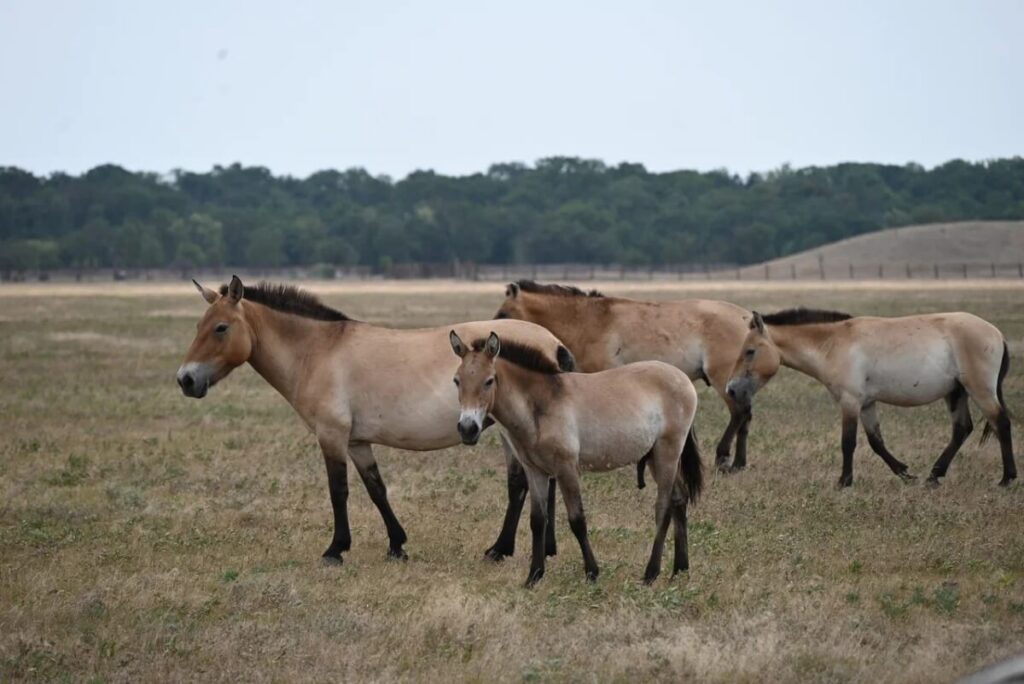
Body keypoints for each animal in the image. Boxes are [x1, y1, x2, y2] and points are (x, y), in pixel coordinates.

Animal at [176, 276, 576, 565]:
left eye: (221, 328)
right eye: (198, 326)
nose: (185, 380)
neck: (318, 351)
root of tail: (552, 341)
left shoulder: (332, 435)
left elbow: (338, 490)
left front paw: (335, 549)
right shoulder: (357, 442)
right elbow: (376, 489)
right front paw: (397, 545)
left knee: (520, 484)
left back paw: (501, 549)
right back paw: (542, 548)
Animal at [449, 330, 704, 586]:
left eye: (489, 380)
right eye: (457, 380)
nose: (467, 429)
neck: (542, 405)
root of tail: (683, 379)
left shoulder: (566, 469)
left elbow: (577, 520)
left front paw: (592, 572)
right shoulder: (536, 471)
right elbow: (537, 520)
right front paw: (534, 576)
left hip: (667, 453)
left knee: (663, 508)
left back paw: (651, 573)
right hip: (655, 457)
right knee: (679, 499)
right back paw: (680, 569)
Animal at [725, 307, 1016, 488]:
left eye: (750, 351)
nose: (731, 389)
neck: (832, 344)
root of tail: (997, 333)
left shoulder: (850, 402)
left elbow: (848, 443)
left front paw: (844, 481)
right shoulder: (866, 404)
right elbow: (876, 442)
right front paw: (905, 473)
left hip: (979, 390)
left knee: (1001, 423)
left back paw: (1006, 478)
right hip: (956, 393)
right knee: (961, 429)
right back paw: (933, 476)